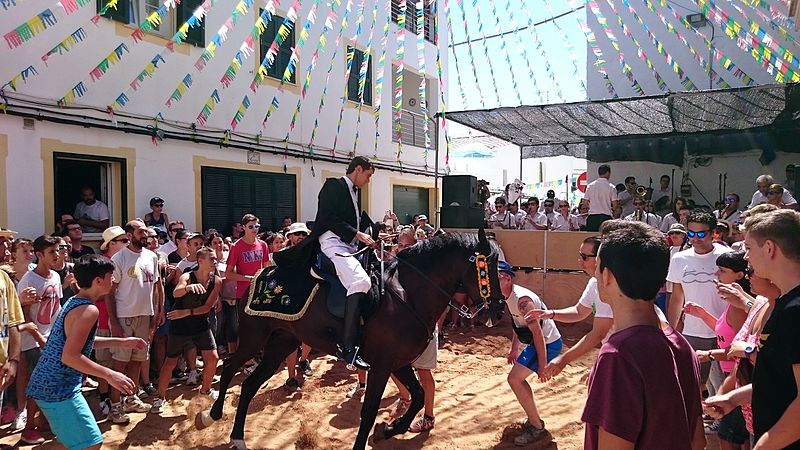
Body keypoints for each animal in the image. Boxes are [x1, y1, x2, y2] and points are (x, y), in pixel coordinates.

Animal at [197, 230, 504, 448]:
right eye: (487, 267)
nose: (500, 310)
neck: (407, 295)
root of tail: (263, 273)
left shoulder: (398, 362)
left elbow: (417, 396)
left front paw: (389, 429)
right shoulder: (382, 365)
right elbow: (368, 412)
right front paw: (382, 429)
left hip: (281, 343)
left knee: (249, 385)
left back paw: (237, 436)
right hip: (254, 339)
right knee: (230, 368)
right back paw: (212, 414)